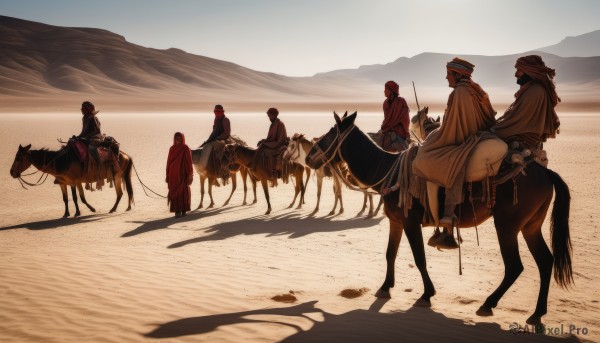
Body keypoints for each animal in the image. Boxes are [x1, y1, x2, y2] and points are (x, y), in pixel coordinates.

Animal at [308, 112, 576, 326]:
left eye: (329, 135)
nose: (310, 156)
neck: (387, 170)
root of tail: (546, 173)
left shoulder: (410, 222)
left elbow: (419, 258)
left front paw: (426, 294)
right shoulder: (396, 222)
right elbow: (390, 254)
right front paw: (385, 288)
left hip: (507, 226)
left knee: (515, 266)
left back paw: (488, 304)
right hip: (530, 226)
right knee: (545, 261)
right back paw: (537, 314)